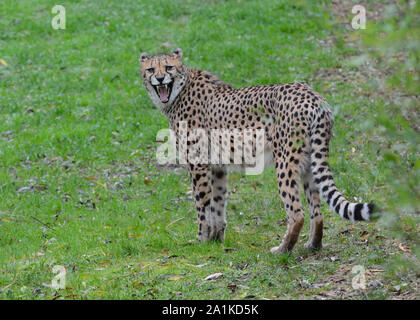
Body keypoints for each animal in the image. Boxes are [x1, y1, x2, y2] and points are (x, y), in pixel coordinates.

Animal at [140, 48, 378, 252]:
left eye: (168, 67)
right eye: (151, 69)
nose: (159, 79)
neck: (178, 91)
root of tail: (312, 95)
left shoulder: (198, 164)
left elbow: (202, 205)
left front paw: (201, 240)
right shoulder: (218, 167)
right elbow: (218, 204)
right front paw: (216, 240)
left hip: (285, 161)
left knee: (297, 213)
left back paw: (282, 250)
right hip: (310, 162)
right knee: (316, 211)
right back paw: (313, 245)